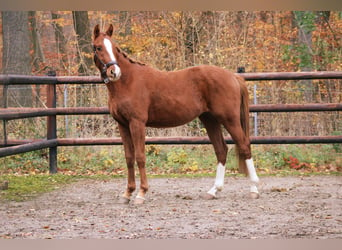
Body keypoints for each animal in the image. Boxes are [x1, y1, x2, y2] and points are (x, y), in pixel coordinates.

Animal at [92, 24, 258, 204]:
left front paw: (141, 193)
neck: (127, 81)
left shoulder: (137, 123)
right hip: (210, 120)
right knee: (221, 150)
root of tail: (233, 76)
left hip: (230, 119)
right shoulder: (122, 124)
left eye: (114, 48)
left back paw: (254, 189)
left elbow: (140, 157)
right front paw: (127, 193)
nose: (114, 72)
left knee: (244, 146)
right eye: (98, 47)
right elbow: (129, 157)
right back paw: (213, 191)